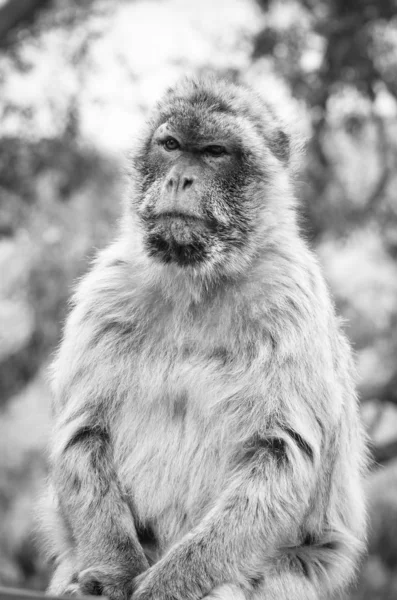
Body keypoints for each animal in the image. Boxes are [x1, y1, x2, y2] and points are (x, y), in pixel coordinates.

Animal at [41, 77, 366, 600]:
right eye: (171, 145)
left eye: (215, 152)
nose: (180, 180)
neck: (197, 281)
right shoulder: (107, 291)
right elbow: (83, 432)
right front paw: (114, 573)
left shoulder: (289, 296)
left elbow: (283, 453)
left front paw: (166, 586)